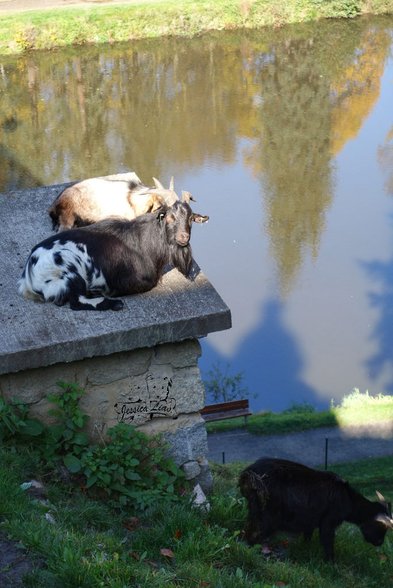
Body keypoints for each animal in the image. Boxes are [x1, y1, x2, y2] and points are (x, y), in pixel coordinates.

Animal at [18, 194, 208, 312]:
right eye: (170, 217)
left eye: (191, 219)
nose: (184, 237)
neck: (146, 243)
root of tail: (28, 277)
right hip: (70, 268)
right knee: (76, 302)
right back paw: (114, 303)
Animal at [239, 454, 392, 560]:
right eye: (381, 526)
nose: (380, 543)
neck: (347, 498)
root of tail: (249, 473)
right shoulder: (328, 522)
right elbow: (327, 542)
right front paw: (331, 563)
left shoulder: (310, 521)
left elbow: (308, 536)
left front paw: (306, 548)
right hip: (267, 516)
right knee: (253, 535)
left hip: (255, 510)